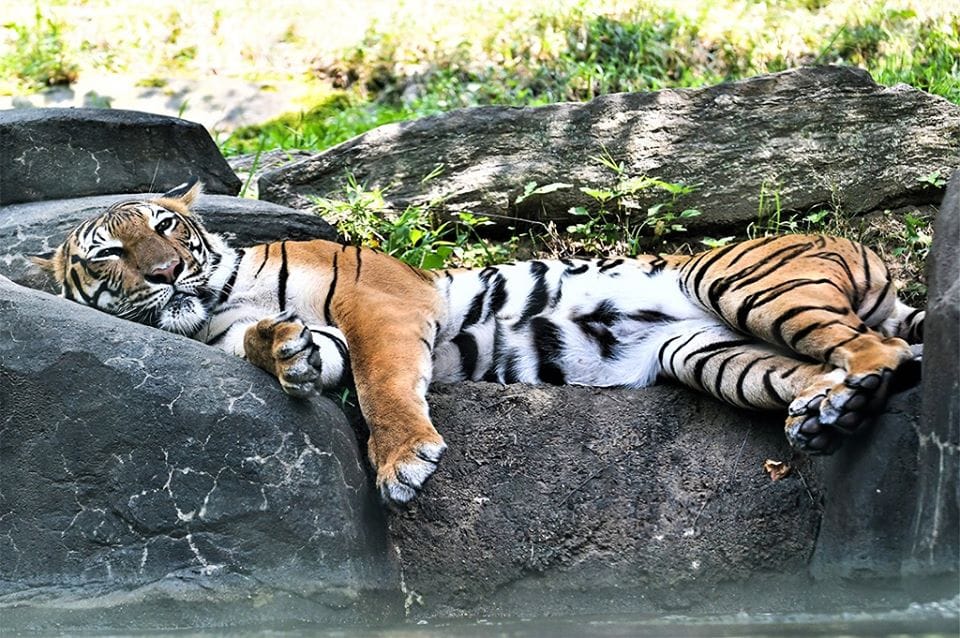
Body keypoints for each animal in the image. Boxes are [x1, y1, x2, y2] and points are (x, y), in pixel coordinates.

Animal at [31, 178, 925, 506]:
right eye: (109, 254)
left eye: (165, 226)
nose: (168, 270)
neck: (217, 297)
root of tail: (865, 250)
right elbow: (295, 351)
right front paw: (282, 351)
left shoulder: (377, 303)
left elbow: (383, 387)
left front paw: (401, 461)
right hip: (710, 355)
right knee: (843, 364)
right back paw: (826, 413)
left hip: (740, 280)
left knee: (879, 351)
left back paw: (842, 398)